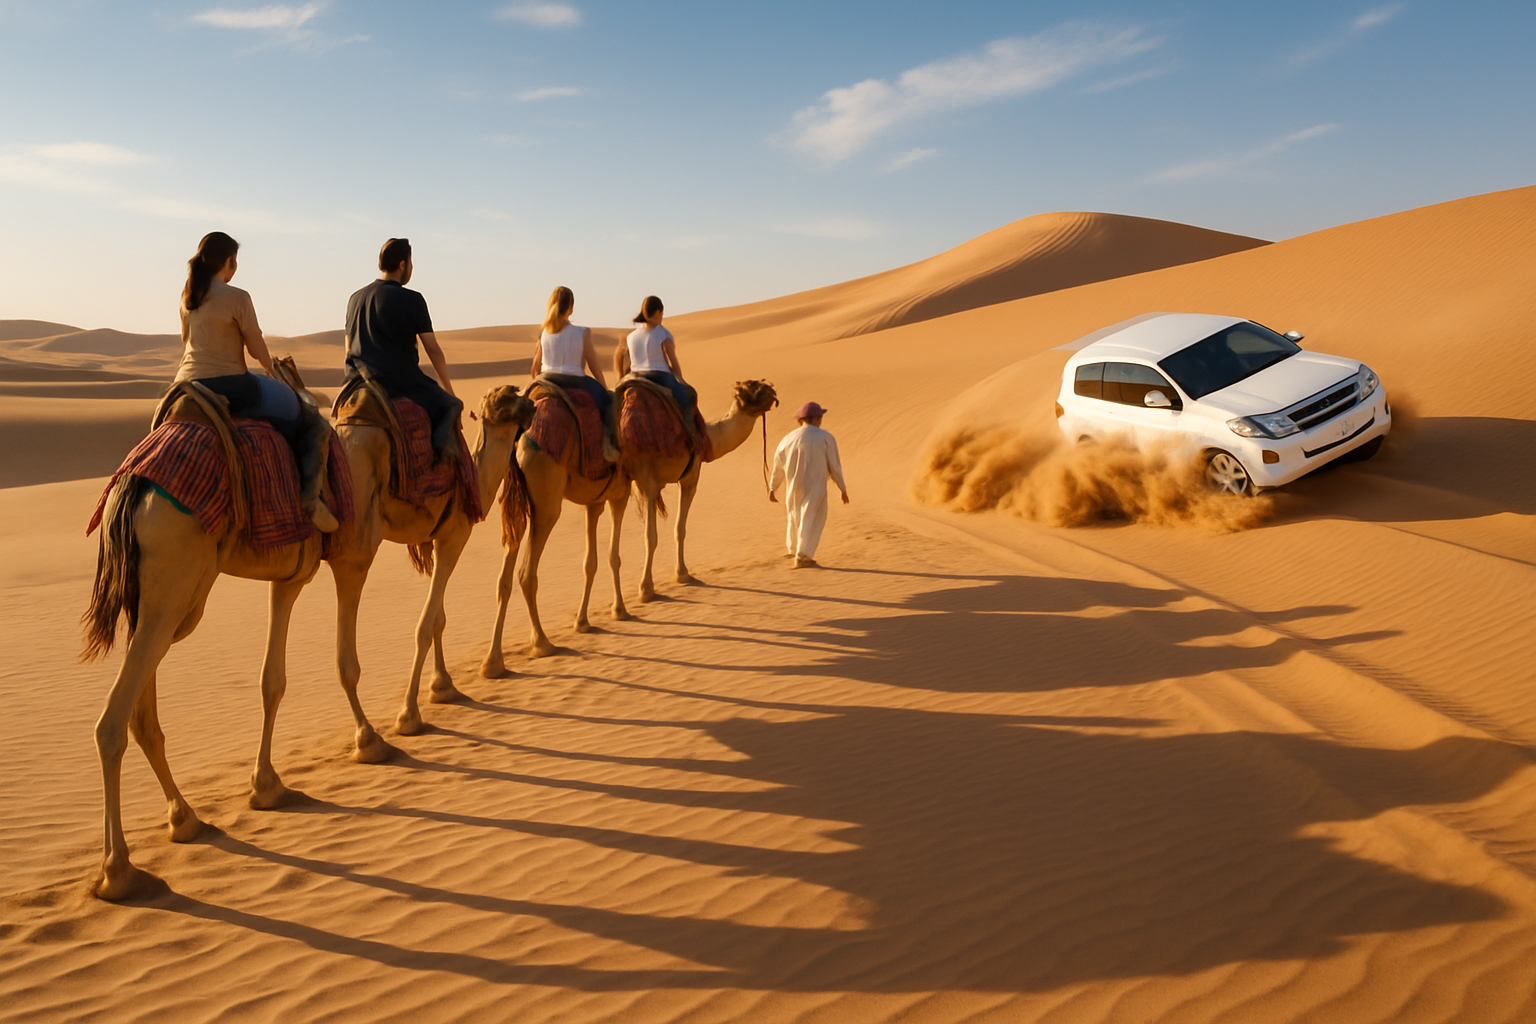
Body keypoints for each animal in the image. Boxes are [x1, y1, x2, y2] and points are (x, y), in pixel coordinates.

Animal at [83, 378, 334, 901]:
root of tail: (132, 487)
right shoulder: (296, 575)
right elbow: (274, 680)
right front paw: (268, 787)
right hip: (175, 590)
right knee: (111, 723)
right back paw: (119, 871)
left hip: (155, 605)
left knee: (139, 715)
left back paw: (185, 819)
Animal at [329, 384, 533, 744]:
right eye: (506, 400)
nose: (532, 405)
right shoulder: (455, 537)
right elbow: (425, 625)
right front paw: (409, 715)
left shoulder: (437, 540)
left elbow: (438, 618)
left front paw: (442, 686)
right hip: (357, 539)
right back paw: (367, 739)